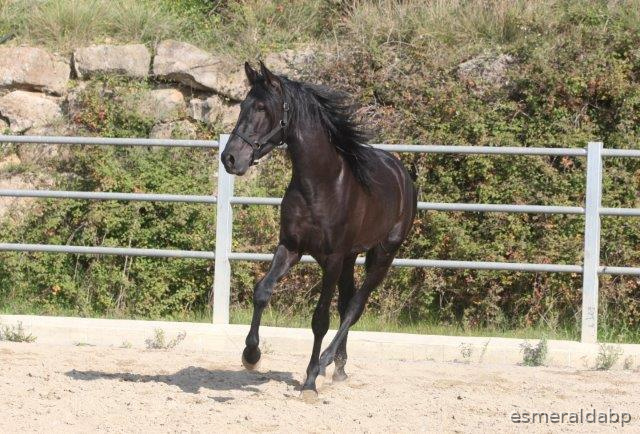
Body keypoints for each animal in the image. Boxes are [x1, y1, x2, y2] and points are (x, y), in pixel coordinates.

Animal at [221, 61, 417, 401]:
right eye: (243, 106)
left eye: (261, 108)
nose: (230, 158)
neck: (320, 184)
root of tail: (404, 175)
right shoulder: (290, 247)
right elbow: (262, 292)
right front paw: (251, 356)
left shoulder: (333, 258)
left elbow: (320, 320)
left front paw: (310, 381)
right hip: (352, 257)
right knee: (346, 302)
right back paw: (338, 368)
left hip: (382, 255)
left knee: (354, 307)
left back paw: (324, 364)